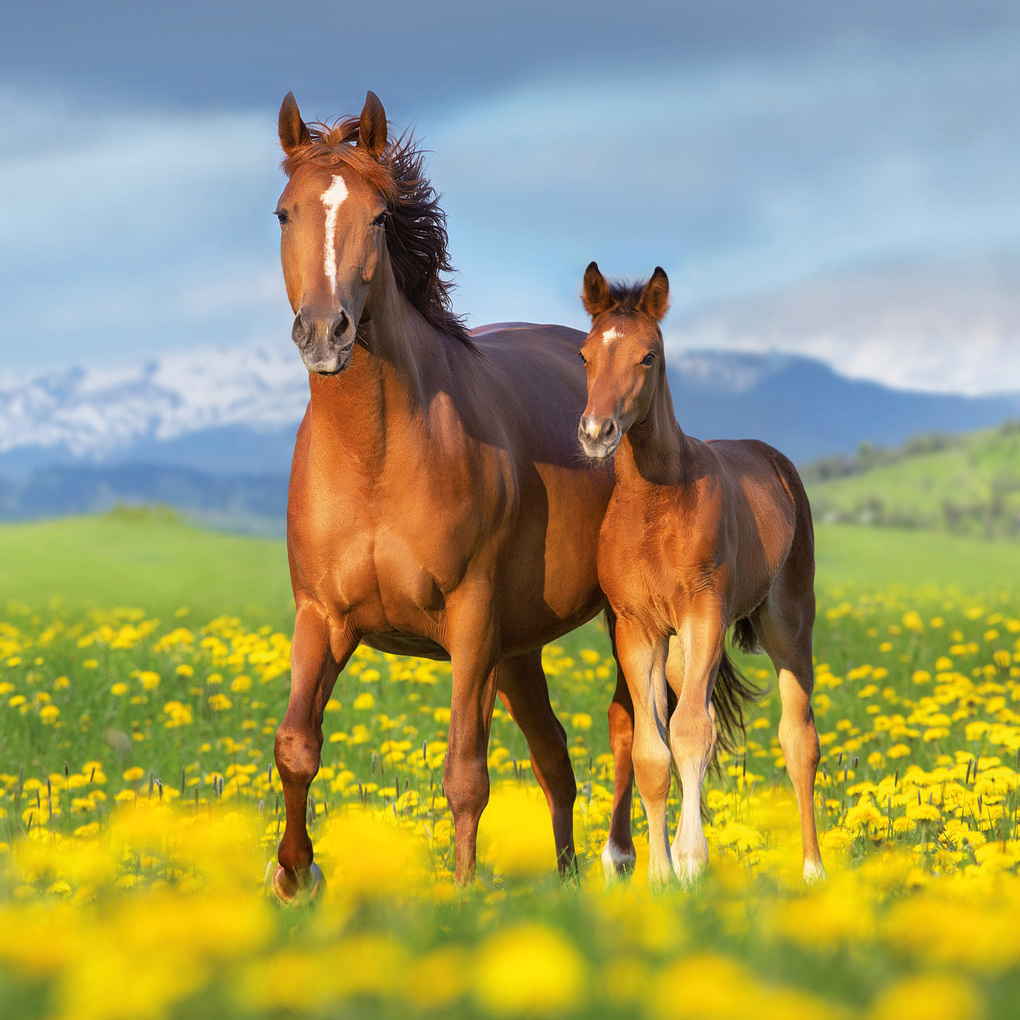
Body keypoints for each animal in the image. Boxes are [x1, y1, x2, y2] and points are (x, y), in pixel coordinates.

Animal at [269, 91, 638, 898]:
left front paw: (464, 896)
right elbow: (296, 746)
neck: (375, 458)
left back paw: (627, 862)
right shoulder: (322, 617)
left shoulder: (470, 621)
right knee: (556, 759)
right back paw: (567, 877)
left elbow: (466, 773)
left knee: (636, 729)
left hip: (614, 623)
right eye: (284, 214)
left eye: (379, 217)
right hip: (520, 648)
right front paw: (294, 874)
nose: (325, 332)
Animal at [575, 262, 824, 885]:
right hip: (683, 652)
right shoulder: (638, 630)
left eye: (648, 356)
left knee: (798, 740)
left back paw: (813, 869)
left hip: (787, 627)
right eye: (585, 355)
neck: (654, 505)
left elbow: (690, 732)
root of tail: (774, 461)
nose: (596, 432)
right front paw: (659, 873)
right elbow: (652, 749)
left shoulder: (703, 614)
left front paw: (690, 863)